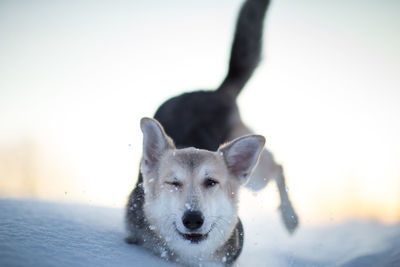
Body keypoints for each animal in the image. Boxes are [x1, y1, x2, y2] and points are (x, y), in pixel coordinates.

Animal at [126, 0, 298, 264]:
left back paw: (290, 217)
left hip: (255, 176)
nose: (193, 219)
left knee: (278, 167)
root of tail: (216, 91)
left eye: (211, 182)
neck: (191, 258)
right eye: (173, 182)